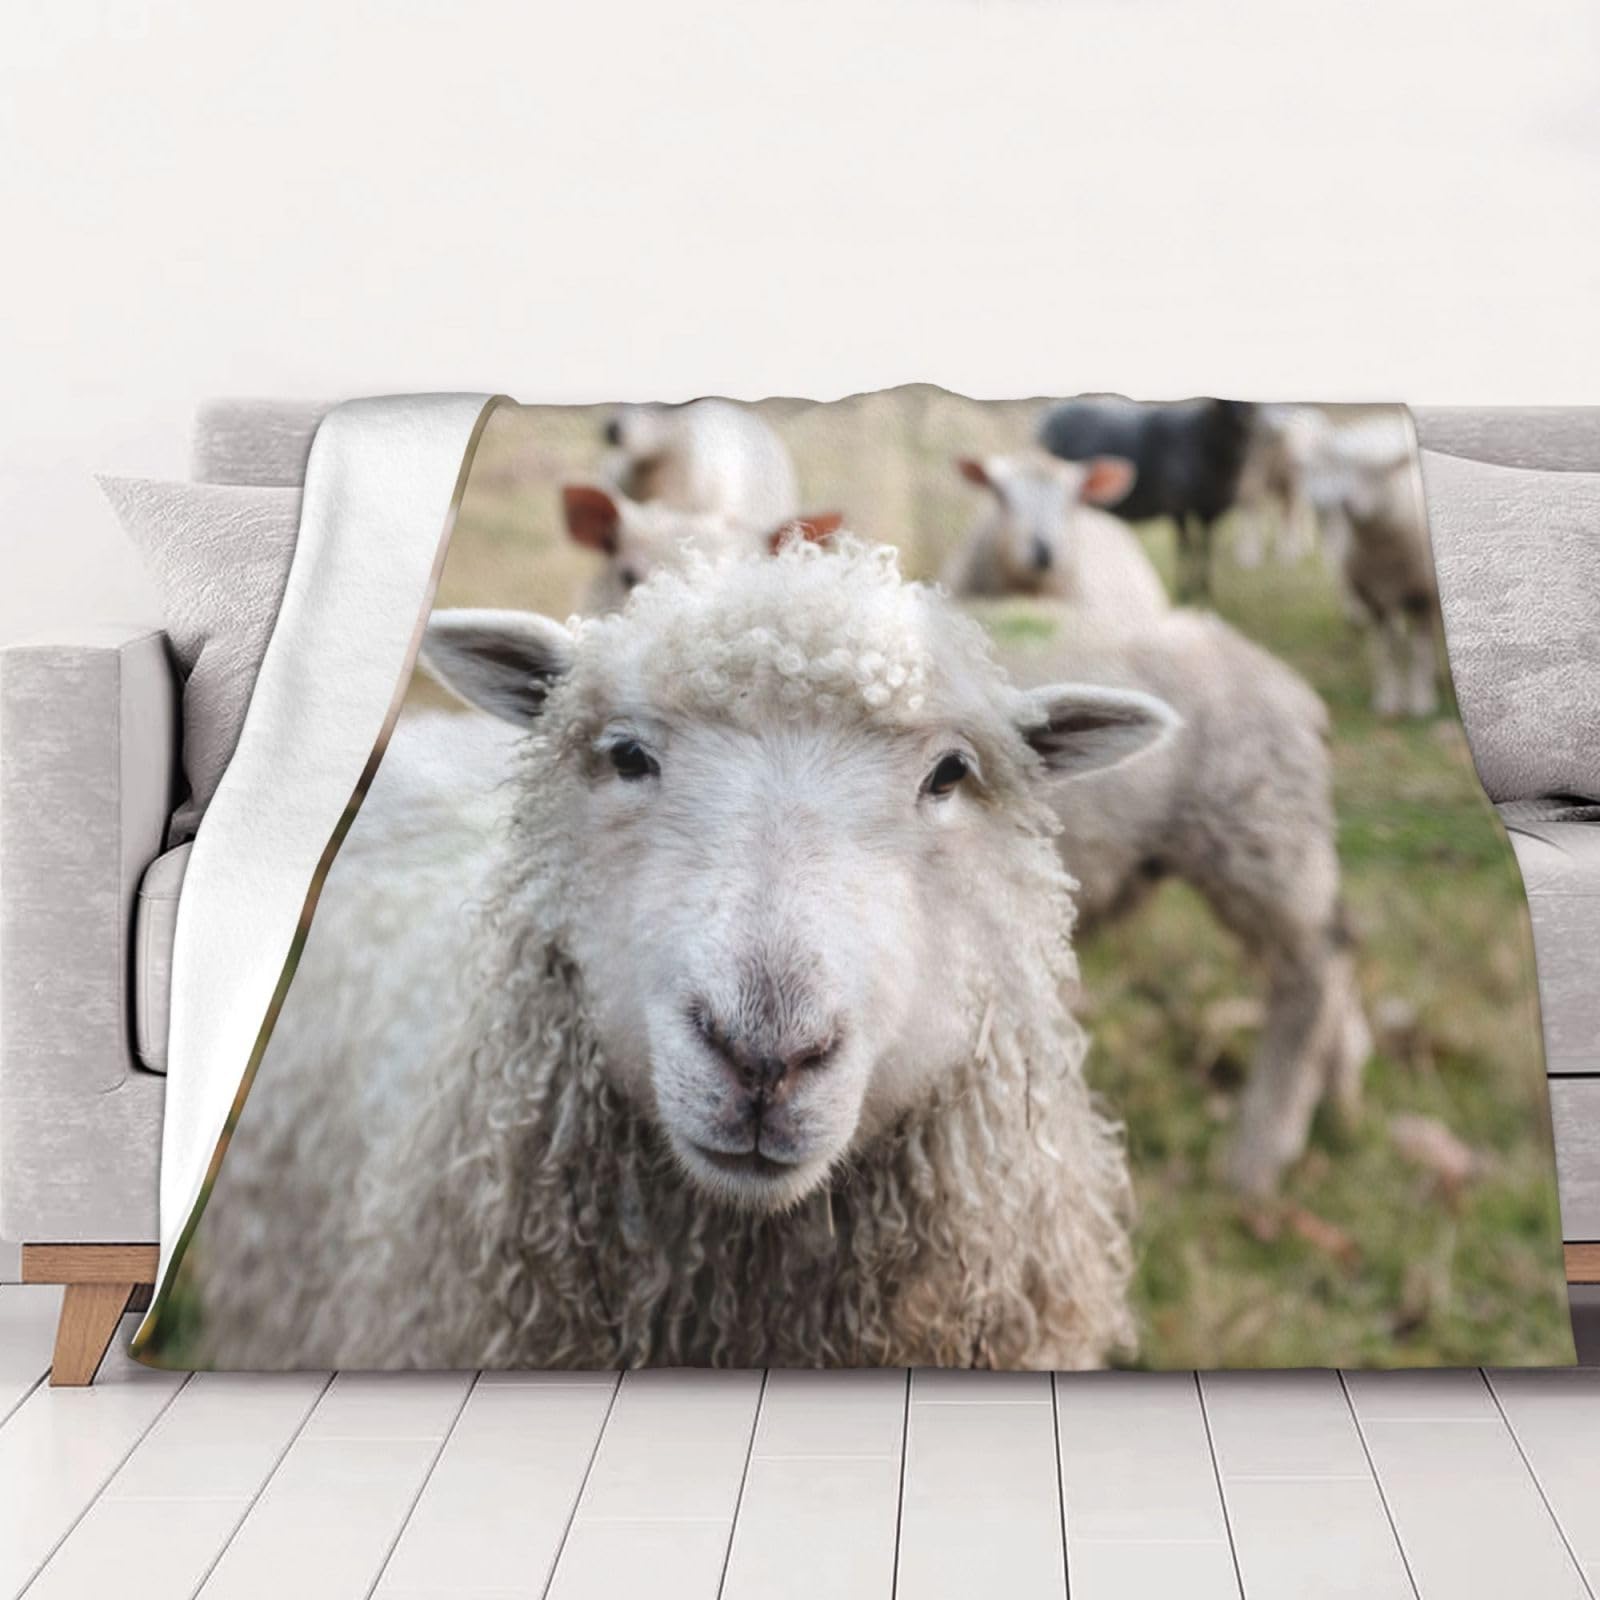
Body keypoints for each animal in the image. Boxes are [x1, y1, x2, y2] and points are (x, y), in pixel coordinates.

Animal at [1038, 396, 1257, 602]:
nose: (1242, 416)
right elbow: (1185, 547)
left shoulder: (1210, 510)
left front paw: (1205, 590)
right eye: (1221, 403)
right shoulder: (1178, 506)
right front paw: (1185, 591)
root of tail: (1049, 415)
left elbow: (1206, 548)